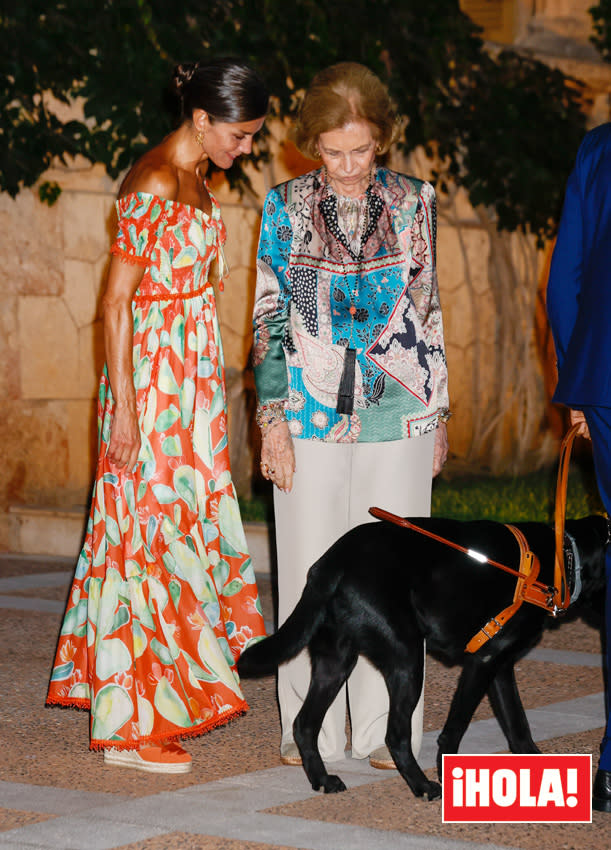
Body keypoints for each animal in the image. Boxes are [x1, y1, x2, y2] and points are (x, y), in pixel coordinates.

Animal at [238, 512, 608, 800]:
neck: (562, 557)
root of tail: (332, 563)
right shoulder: (482, 663)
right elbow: (456, 727)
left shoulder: (500, 667)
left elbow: (518, 725)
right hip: (408, 659)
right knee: (395, 734)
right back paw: (422, 786)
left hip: (336, 663)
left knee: (304, 724)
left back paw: (323, 780)